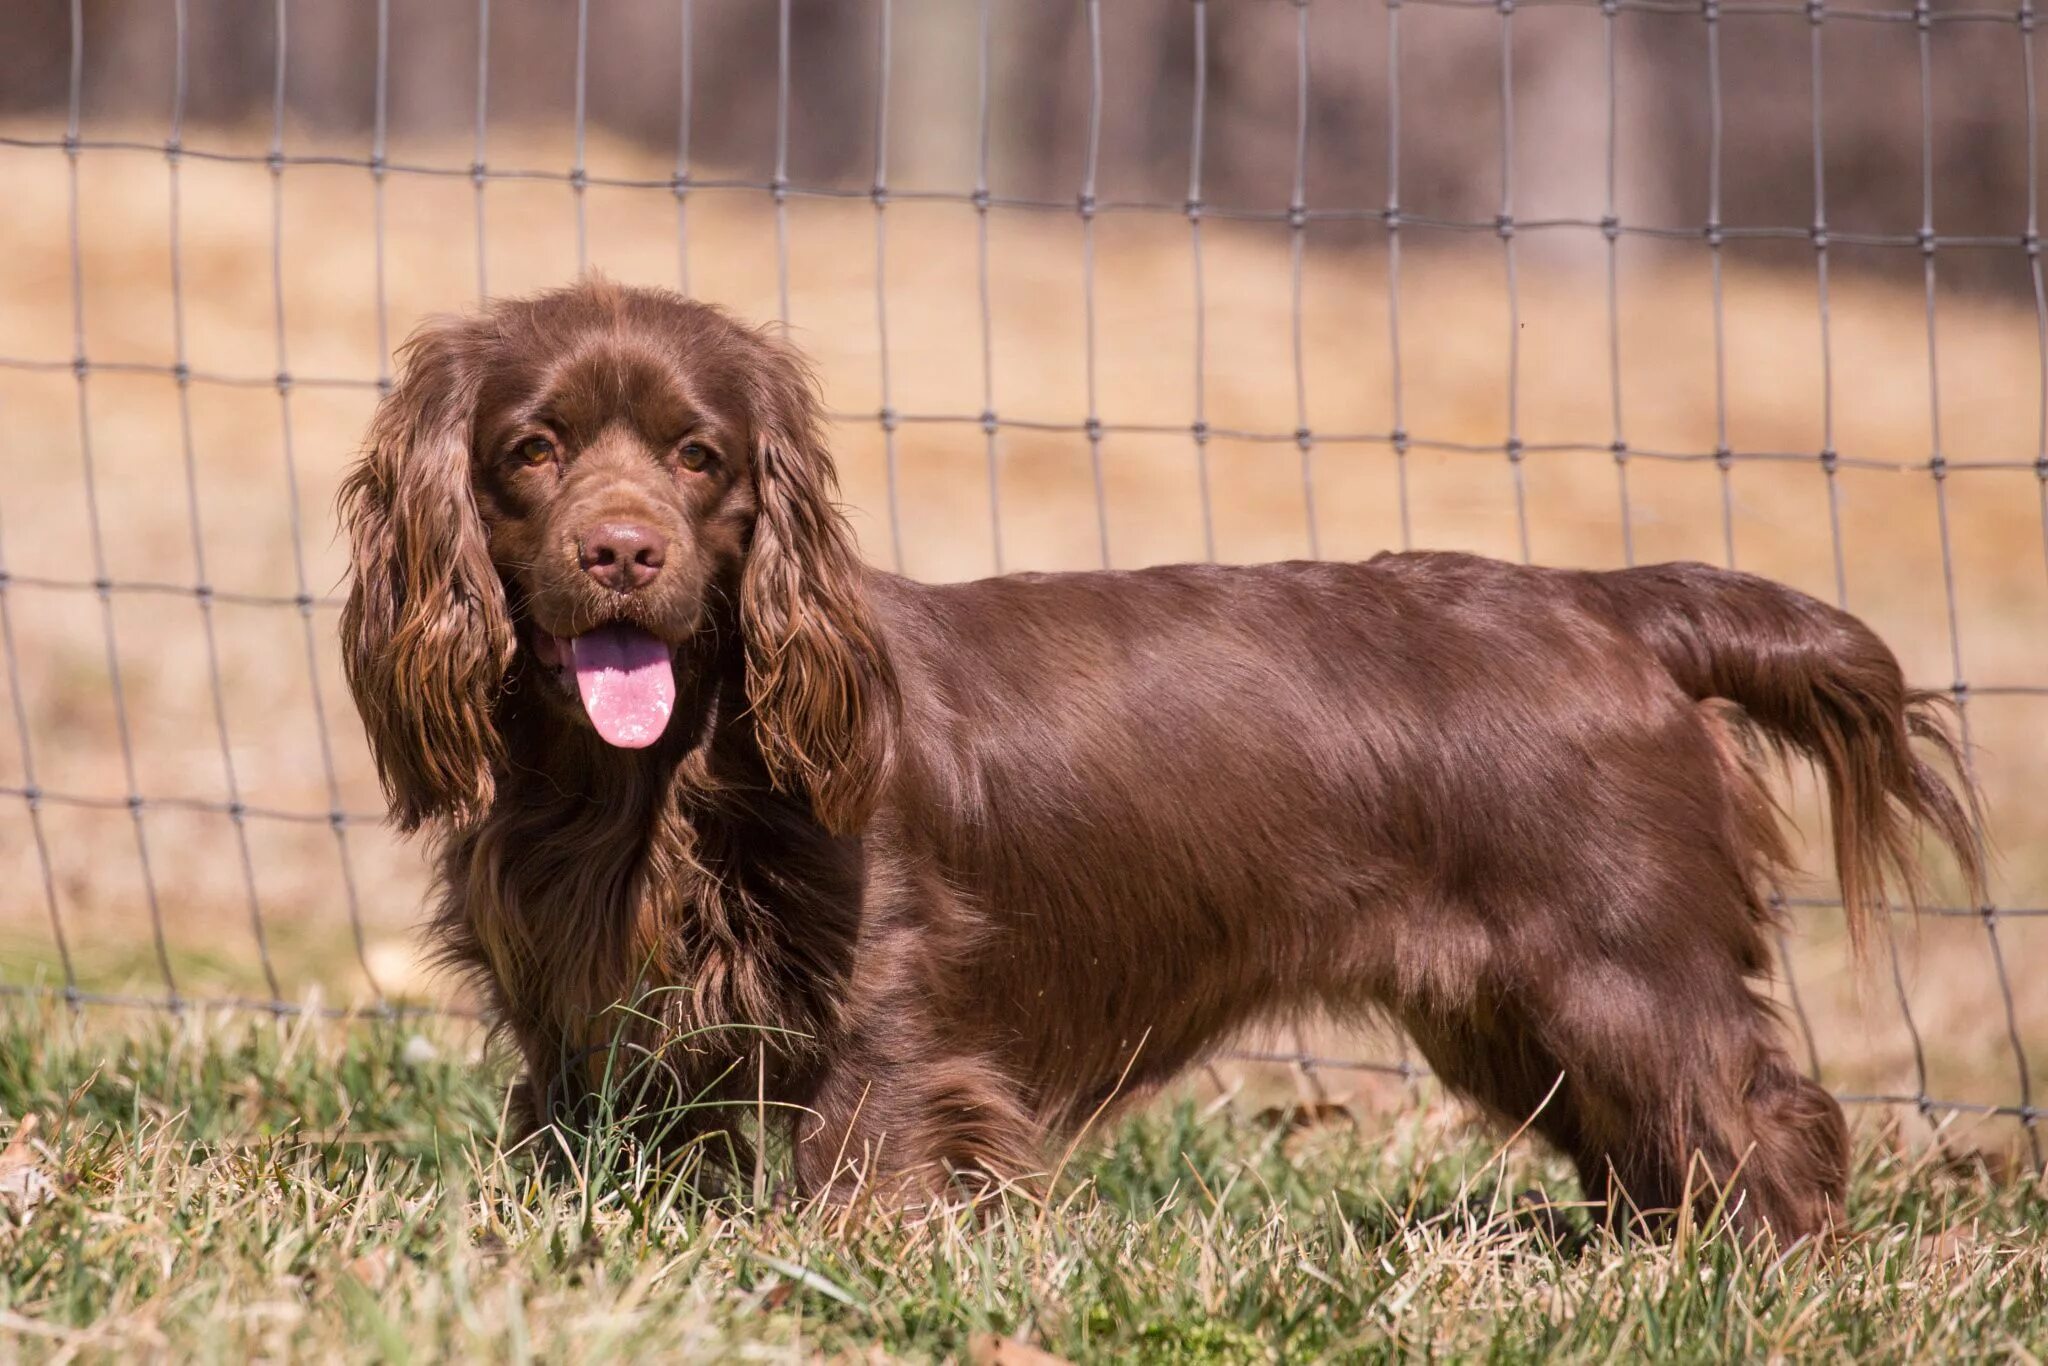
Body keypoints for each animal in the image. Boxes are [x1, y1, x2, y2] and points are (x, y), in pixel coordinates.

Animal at [344, 274, 1974, 1236]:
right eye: (533, 449)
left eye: (700, 457)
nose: (622, 551)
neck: (651, 781)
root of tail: (1608, 601)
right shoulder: (576, 1021)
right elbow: (578, 1157)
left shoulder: (880, 1014)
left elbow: (860, 1180)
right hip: (1512, 1009)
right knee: (1661, 1146)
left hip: (1623, 965)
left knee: (1767, 1122)